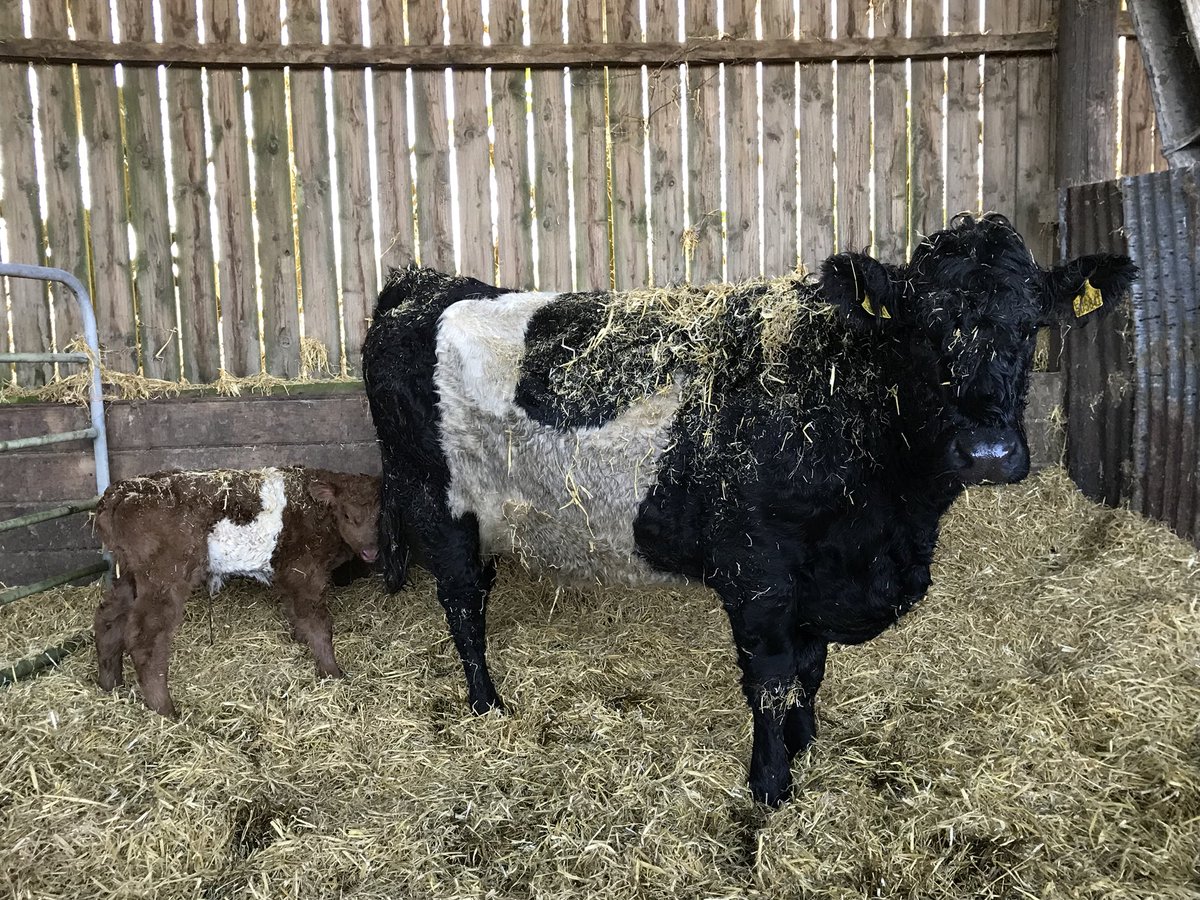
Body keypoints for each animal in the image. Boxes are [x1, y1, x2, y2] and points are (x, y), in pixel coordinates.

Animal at [92, 467, 380, 717]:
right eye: (347, 515)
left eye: (381, 516)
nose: (371, 551)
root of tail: (121, 492)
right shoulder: (305, 572)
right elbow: (319, 624)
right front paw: (332, 672)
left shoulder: (288, 574)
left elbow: (297, 613)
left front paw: (300, 639)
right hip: (165, 578)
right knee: (145, 639)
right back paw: (165, 710)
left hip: (127, 575)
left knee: (108, 620)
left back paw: (110, 685)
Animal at [362, 213, 1135, 806]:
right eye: (921, 326)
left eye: (1032, 324)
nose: (986, 451)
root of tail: (424, 284)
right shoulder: (757, 568)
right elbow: (769, 678)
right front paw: (771, 785)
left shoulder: (820, 576)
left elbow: (809, 670)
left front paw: (806, 742)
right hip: (436, 499)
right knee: (463, 604)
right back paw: (486, 703)